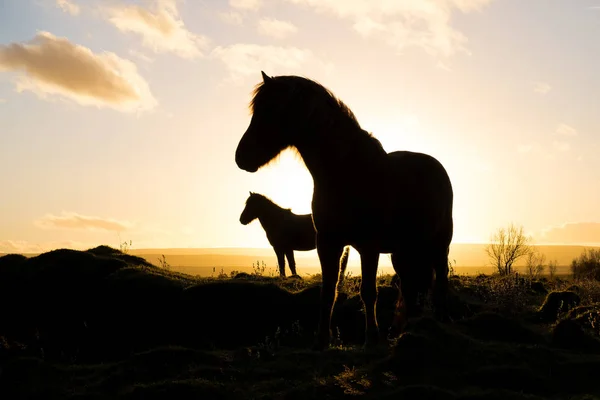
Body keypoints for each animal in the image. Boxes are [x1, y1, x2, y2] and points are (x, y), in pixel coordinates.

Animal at [234, 71, 454, 350]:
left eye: (271, 109)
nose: (241, 157)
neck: (347, 172)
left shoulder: (369, 246)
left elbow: (368, 292)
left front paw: (371, 339)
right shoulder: (328, 243)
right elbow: (328, 292)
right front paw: (321, 340)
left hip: (439, 244)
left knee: (441, 279)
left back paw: (441, 320)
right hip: (402, 250)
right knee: (409, 285)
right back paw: (401, 330)